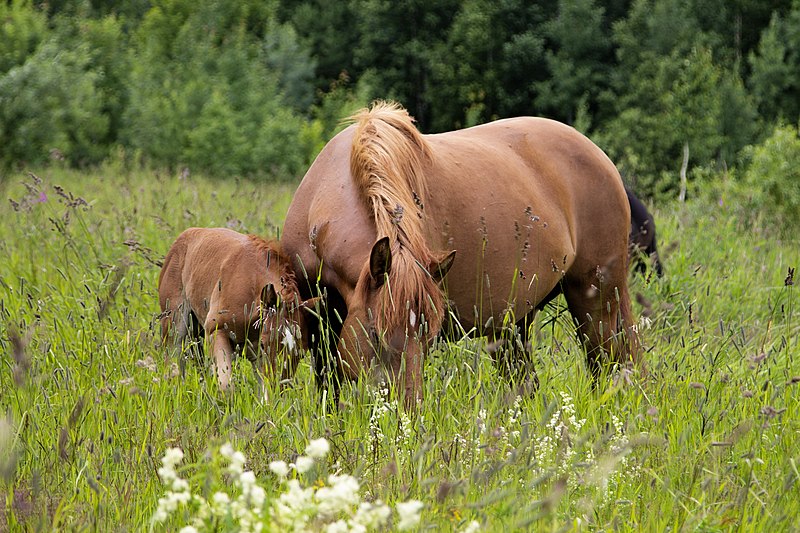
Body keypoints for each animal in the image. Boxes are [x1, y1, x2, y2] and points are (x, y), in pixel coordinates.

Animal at [158, 227, 318, 392]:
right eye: (263, 345)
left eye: (301, 352)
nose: (276, 387)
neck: (251, 282)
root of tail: (185, 235)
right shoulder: (216, 330)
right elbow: (226, 385)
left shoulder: (257, 358)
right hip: (174, 326)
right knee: (173, 360)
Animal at [278, 101, 640, 408]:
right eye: (375, 334)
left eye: (428, 337)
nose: (408, 414)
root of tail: (601, 159)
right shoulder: (321, 319)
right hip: (516, 324)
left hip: (597, 301)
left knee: (614, 365)